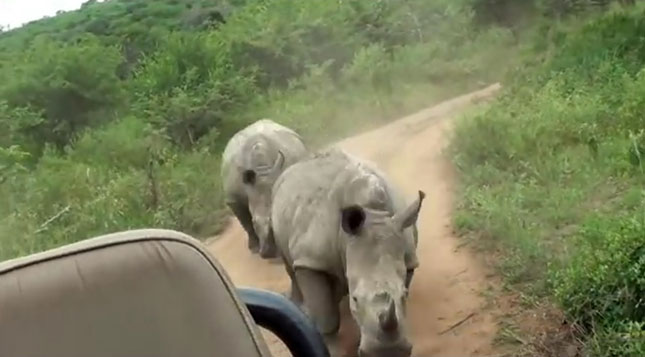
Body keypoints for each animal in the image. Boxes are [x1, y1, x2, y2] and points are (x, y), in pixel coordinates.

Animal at [220, 119, 308, 256]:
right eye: (255, 222)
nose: (268, 252)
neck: (262, 170)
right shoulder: (233, 198)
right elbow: (246, 223)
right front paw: (254, 248)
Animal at [270, 147, 426, 356]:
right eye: (355, 299)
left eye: (404, 295)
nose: (389, 352)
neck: (374, 215)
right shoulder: (311, 259)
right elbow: (326, 317)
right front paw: (331, 347)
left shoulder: (408, 258)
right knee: (290, 265)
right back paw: (296, 304)